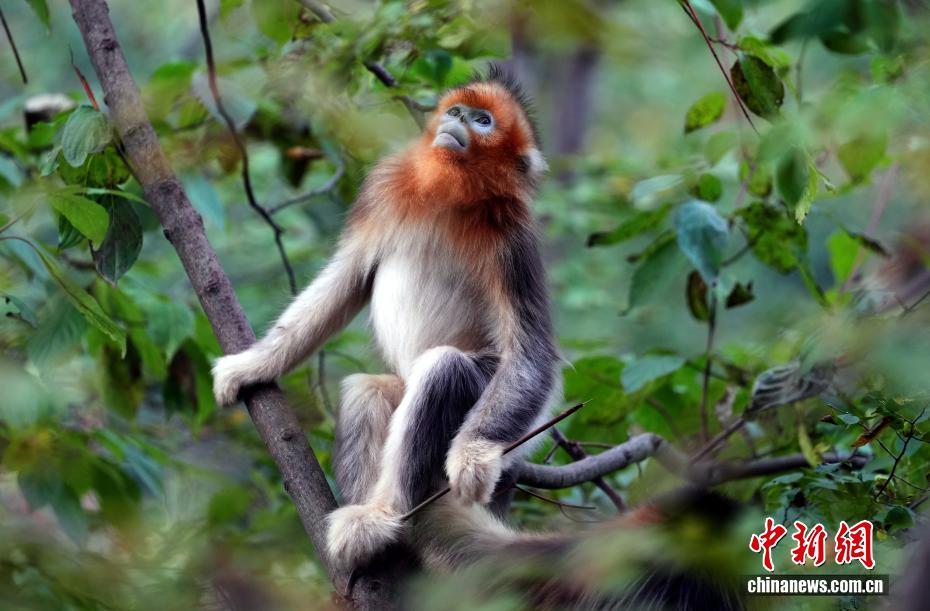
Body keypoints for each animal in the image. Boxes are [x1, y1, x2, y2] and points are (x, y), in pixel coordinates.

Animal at [212, 65, 559, 570]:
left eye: (483, 121)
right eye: (457, 111)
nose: (458, 122)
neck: (451, 195)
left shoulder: (513, 238)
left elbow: (531, 353)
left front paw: (473, 457)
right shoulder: (382, 191)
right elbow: (347, 280)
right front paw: (250, 366)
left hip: (511, 418)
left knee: (443, 369)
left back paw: (383, 516)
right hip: (396, 385)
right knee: (367, 390)